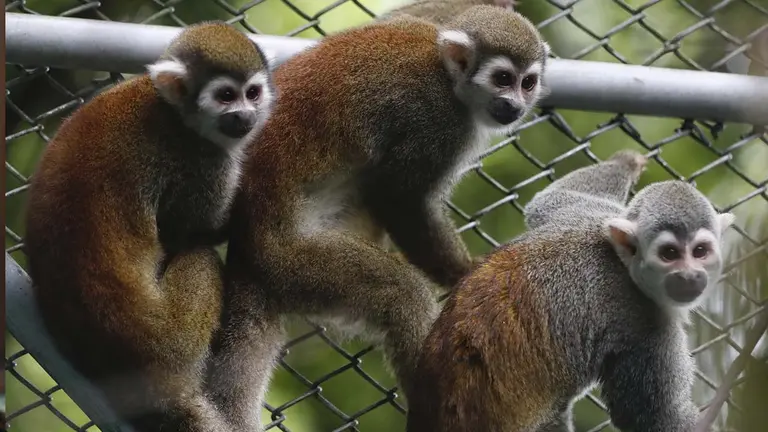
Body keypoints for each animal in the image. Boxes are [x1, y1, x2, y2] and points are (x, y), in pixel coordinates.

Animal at [23, 22, 274, 432]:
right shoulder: (199, 158)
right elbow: (196, 230)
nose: (245, 117)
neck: (173, 111)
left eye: (252, 93)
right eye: (225, 96)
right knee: (200, 256)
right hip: (177, 340)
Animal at [202, 6, 550, 431]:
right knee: (402, 293)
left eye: (527, 83)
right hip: (292, 264)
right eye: (503, 79)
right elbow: (398, 197)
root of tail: (246, 247)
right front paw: (466, 274)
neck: (450, 80)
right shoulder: (437, 122)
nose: (516, 104)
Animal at [406, 149, 735, 432]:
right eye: (669, 254)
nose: (690, 276)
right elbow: (652, 419)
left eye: (700, 251)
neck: (625, 267)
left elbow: (547, 201)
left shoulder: (584, 215)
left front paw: (625, 162)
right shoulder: (645, 324)